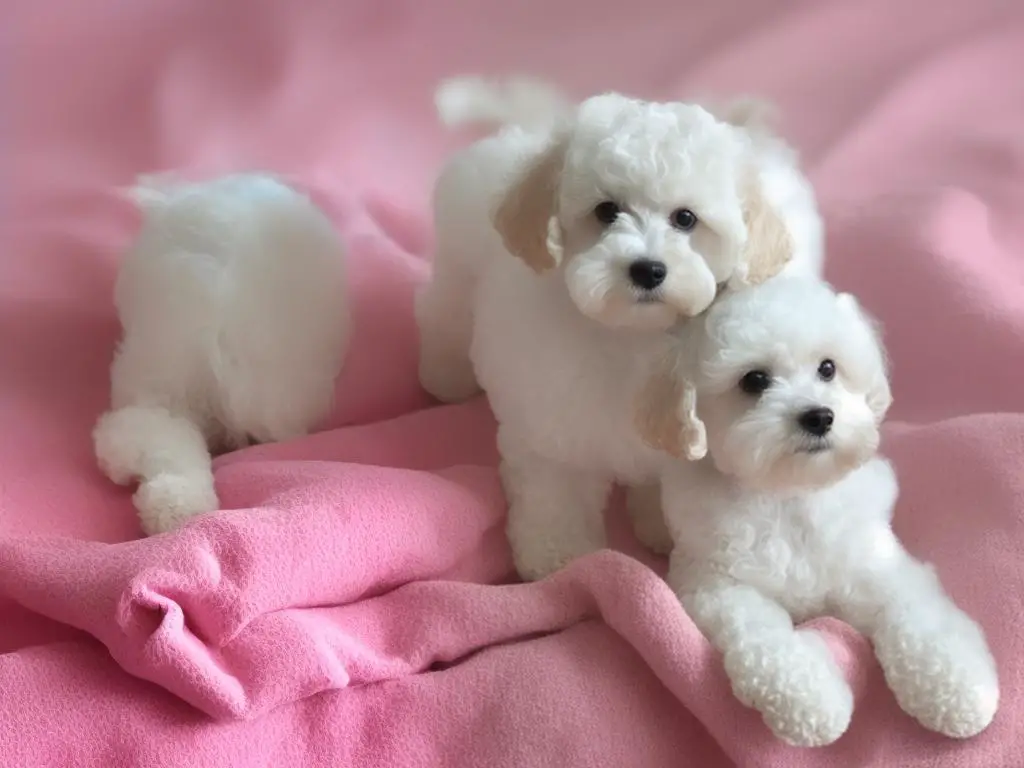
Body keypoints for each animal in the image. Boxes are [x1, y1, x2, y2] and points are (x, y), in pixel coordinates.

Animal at [411, 79, 819, 581]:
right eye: (606, 211)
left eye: (686, 219)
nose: (648, 269)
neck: (632, 333)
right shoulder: (553, 415)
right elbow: (557, 485)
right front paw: (559, 557)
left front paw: (661, 528)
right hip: (457, 268)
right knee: (444, 311)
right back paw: (443, 374)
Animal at [634, 278, 995, 753]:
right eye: (755, 380)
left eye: (827, 368)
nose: (820, 416)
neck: (792, 495)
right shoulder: (718, 588)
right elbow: (765, 641)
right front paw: (813, 704)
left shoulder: (878, 566)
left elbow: (918, 617)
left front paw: (958, 689)